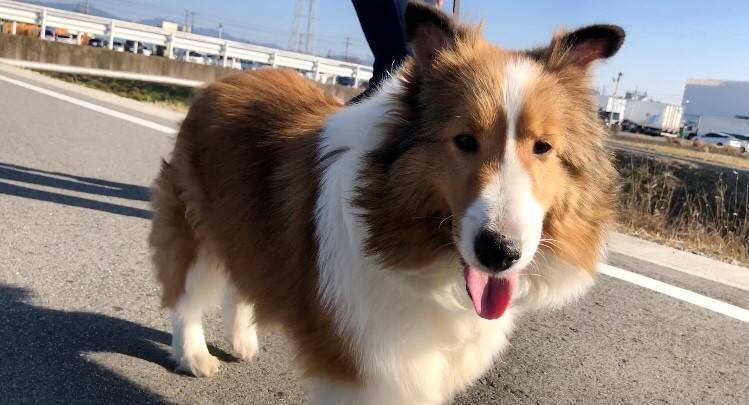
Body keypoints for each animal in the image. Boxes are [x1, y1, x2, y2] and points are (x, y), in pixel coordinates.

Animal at [149, 1, 623, 403]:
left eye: (543, 147)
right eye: (464, 140)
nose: (500, 253)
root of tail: (223, 81)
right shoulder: (363, 367)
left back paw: (243, 339)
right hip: (196, 226)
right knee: (186, 296)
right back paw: (194, 356)